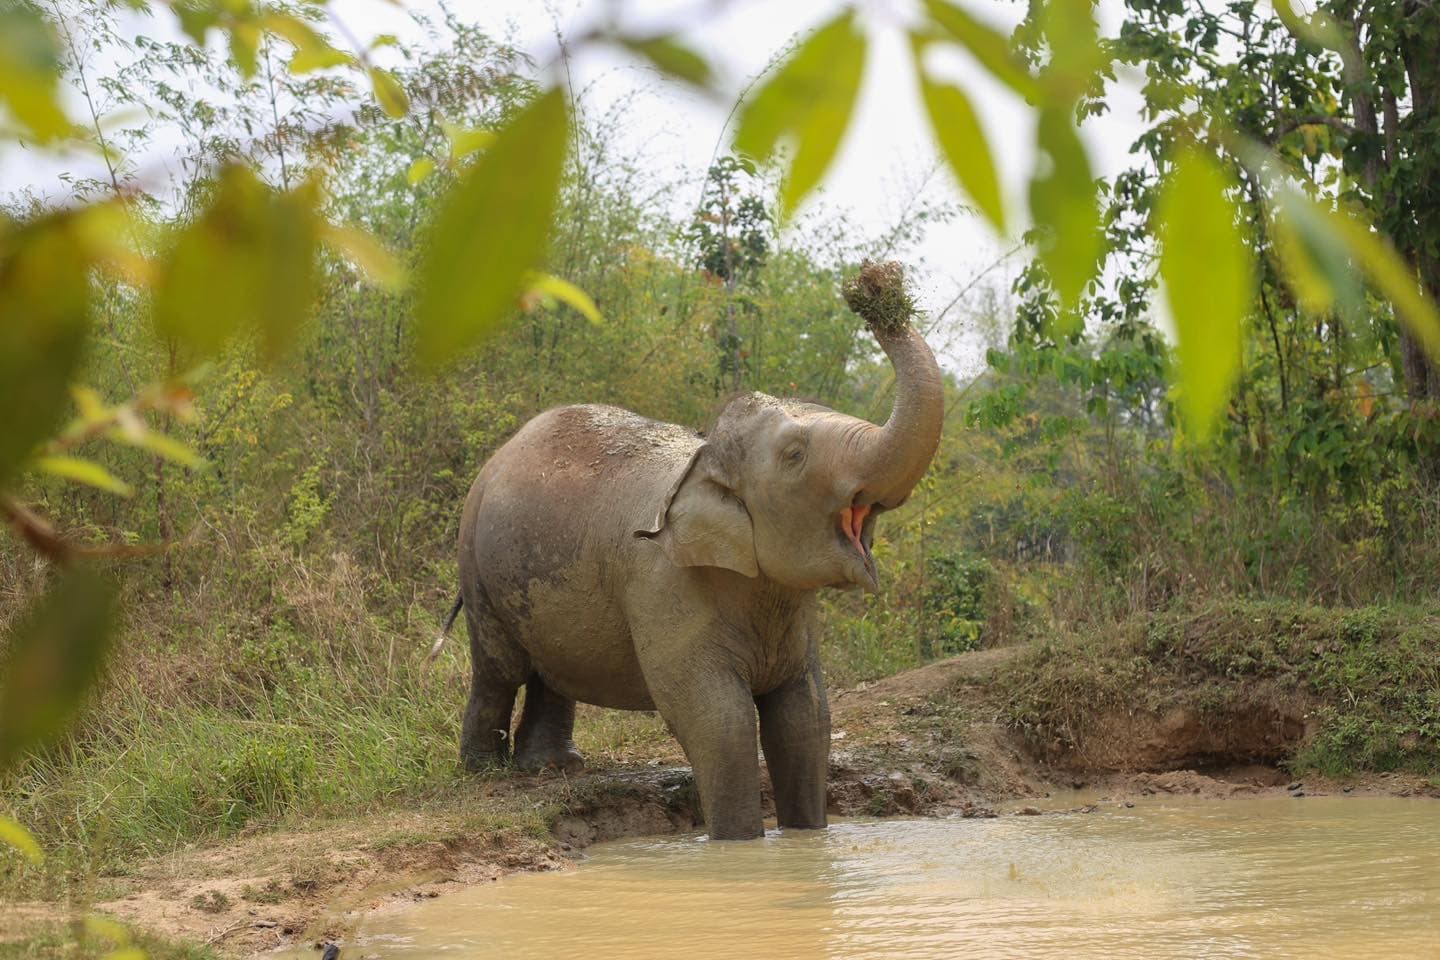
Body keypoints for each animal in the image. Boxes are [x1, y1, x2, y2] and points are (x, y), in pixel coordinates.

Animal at [448, 272, 942, 840]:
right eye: (795, 456)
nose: (873, 286)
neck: (701, 460)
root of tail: (500, 455)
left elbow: (806, 715)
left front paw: (806, 838)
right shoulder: (662, 584)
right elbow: (718, 717)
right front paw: (739, 846)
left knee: (550, 672)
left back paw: (554, 767)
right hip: (477, 569)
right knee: (498, 669)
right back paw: (485, 770)